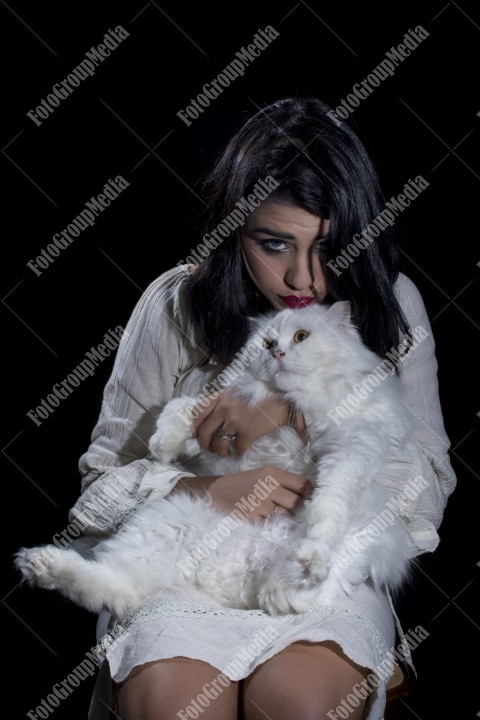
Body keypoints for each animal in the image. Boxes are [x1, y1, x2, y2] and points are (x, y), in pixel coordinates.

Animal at [14, 300, 412, 620]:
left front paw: (315, 538)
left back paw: (304, 567)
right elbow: (183, 410)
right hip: (168, 520)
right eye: (267, 344)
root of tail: (234, 581)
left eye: (301, 337)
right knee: (120, 590)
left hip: (367, 534)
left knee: (296, 592)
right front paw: (162, 444)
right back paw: (41, 564)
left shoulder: (354, 444)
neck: (290, 406)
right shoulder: (221, 426)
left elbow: (329, 503)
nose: (277, 354)